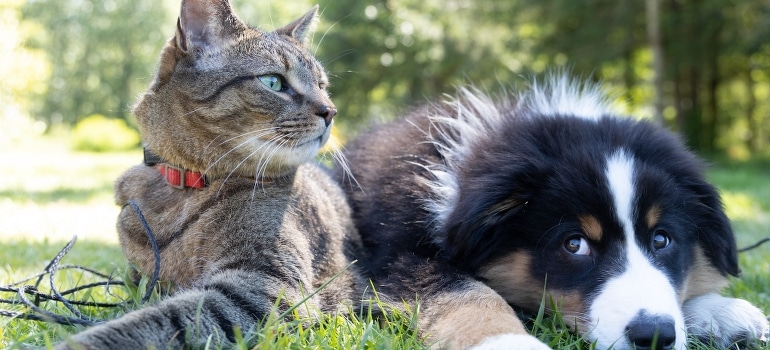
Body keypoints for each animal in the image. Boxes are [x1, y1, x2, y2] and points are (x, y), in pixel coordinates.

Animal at [57, 1, 364, 348]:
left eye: (322, 86)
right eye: (273, 82)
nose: (331, 111)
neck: (184, 187)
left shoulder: (265, 286)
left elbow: (157, 321)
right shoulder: (140, 279)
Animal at [338, 75, 768, 348]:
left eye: (662, 239)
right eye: (574, 244)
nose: (654, 335)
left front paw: (722, 312)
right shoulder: (398, 256)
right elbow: (468, 293)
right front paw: (510, 343)